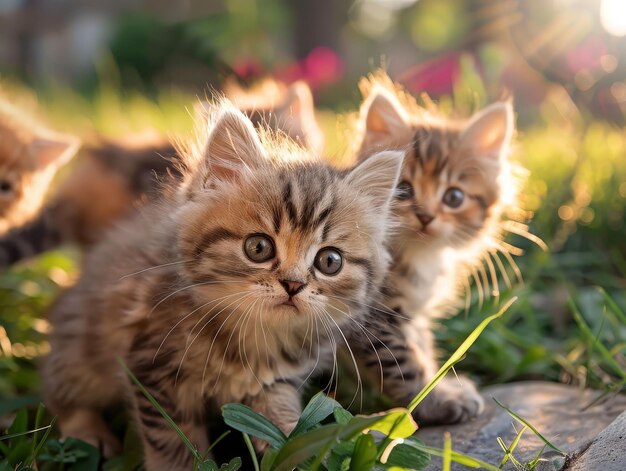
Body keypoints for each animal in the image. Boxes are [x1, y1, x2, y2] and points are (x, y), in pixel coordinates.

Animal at [44, 100, 402, 468]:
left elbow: (283, 430)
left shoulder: (272, 384)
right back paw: (89, 433)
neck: (252, 336)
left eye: (330, 261)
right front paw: (180, 465)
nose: (292, 284)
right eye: (258, 248)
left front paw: (307, 446)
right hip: (81, 349)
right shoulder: (152, 367)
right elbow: (172, 441)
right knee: (57, 388)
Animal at [348, 76, 516, 424]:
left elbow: (422, 347)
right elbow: (402, 364)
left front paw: (438, 387)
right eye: (402, 190)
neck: (416, 258)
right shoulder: (371, 319)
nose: (426, 216)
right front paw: (435, 402)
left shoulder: (408, 315)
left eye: (454, 197)